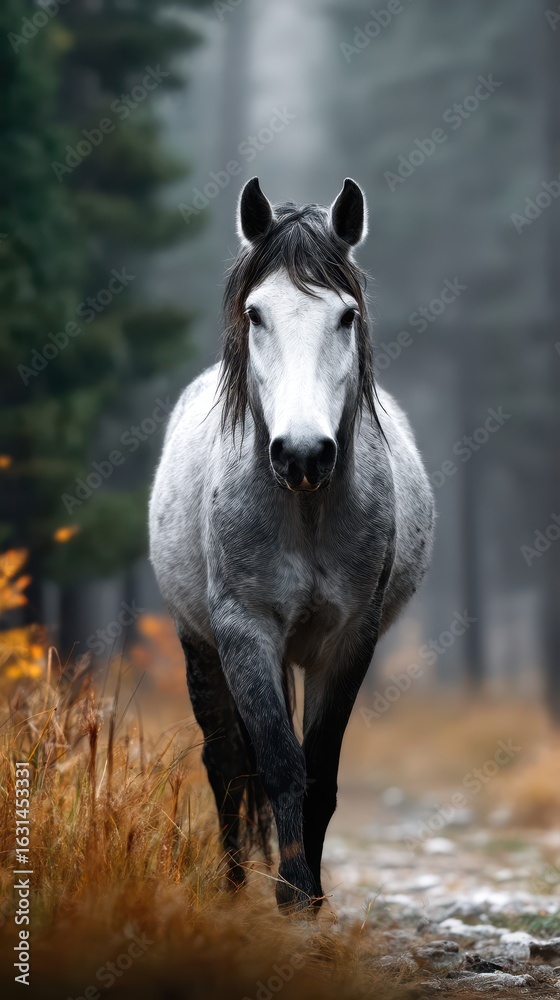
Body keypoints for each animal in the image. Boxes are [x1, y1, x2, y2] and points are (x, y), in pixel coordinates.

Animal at [149, 177, 434, 913]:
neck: (303, 512)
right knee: (224, 762)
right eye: (257, 314)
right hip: (201, 644)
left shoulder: (348, 641)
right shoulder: (244, 632)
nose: (303, 453)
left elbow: (319, 771)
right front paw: (291, 893)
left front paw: (308, 894)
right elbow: (278, 764)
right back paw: (232, 885)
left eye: (345, 317)